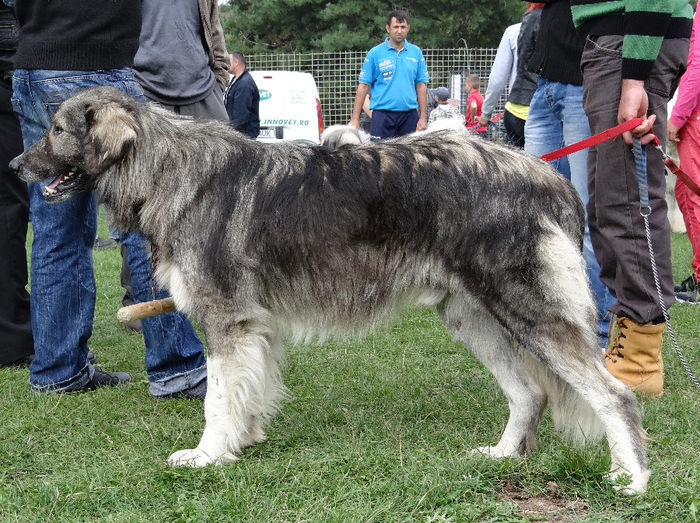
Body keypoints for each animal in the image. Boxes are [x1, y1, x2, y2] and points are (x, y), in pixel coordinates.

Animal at [10, 87, 648, 496]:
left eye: (57, 131)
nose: (16, 165)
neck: (166, 168)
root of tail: (548, 176)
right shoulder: (255, 325)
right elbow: (248, 391)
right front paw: (245, 440)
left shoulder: (226, 320)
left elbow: (217, 398)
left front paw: (209, 455)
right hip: (471, 319)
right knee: (529, 394)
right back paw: (501, 456)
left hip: (529, 313)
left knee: (615, 395)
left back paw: (631, 479)